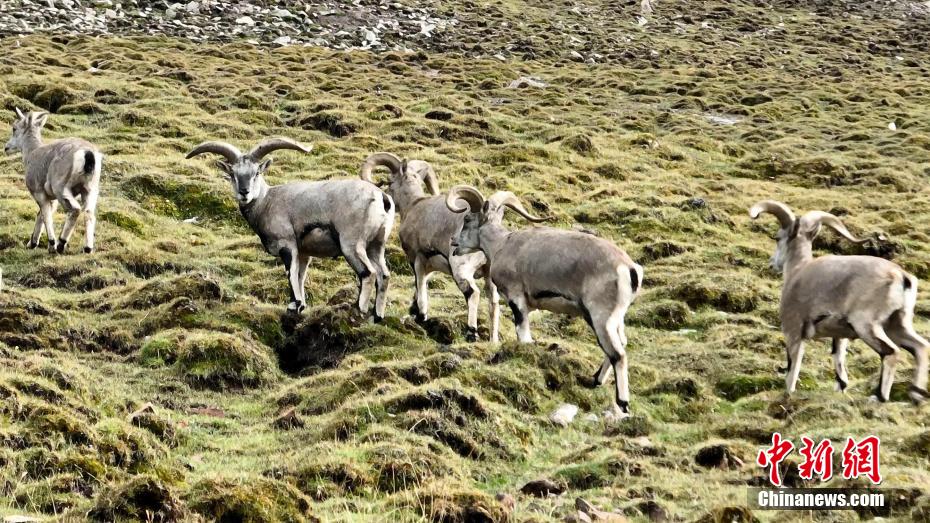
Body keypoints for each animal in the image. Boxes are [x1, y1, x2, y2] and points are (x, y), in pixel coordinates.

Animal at [4, 109, 103, 254]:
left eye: (14, 128)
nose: (6, 148)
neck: (32, 153)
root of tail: (87, 154)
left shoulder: (39, 192)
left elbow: (46, 215)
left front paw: (50, 244)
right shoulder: (52, 198)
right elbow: (41, 214)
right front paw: (32, 243)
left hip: (61, 187)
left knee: (75, 210)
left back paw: (61, 244)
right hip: (90, 189)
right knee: (89, 213)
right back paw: (88, 248)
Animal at [186, 138, 395, 318]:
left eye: (257, 173)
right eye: (233, 174)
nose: (244, 192)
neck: (267, 202)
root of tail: (380, 197)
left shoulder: (287, 244)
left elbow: (291, 273)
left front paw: (295, 305)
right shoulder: (303, 252)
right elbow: (301, 275)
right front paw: (300, 305)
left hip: (352, 244)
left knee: (369, 273)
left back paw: (358, 308)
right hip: (376, 244)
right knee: (383, 275)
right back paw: (377, 316)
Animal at [360, 152, 500, 342]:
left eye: (390, 181)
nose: (386, 199)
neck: (414, 205)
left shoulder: (416, 258)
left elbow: (419, 282)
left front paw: (421, 315)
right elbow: (423, 282)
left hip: (461, 269)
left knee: (473, 293)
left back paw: (472, 333)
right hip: (488, 275)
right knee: (494, 301)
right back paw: (493, 340)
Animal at [446, 185, 644, 419]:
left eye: (467, 219)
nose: (453, 241)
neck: (502, 244)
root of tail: (629, 269)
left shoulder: (517, 299)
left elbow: (523, 335)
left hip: (601, 317)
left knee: (618, 354)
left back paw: (622, 403)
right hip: (613, 318)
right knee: (619, 344)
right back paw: (595, 380)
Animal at [749, 200, 929, 403]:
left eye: (777, 237)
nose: (773, 263)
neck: (798, 271)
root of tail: (901, 276)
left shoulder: (793, 329)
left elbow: (792, 369)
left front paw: (788, 395)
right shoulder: (840, 334)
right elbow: (839, 360)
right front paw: (841, 387)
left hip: (866, 324)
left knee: (891, 352)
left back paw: (879, 396)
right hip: (897, 323)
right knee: (921, 347)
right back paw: (916, 394)